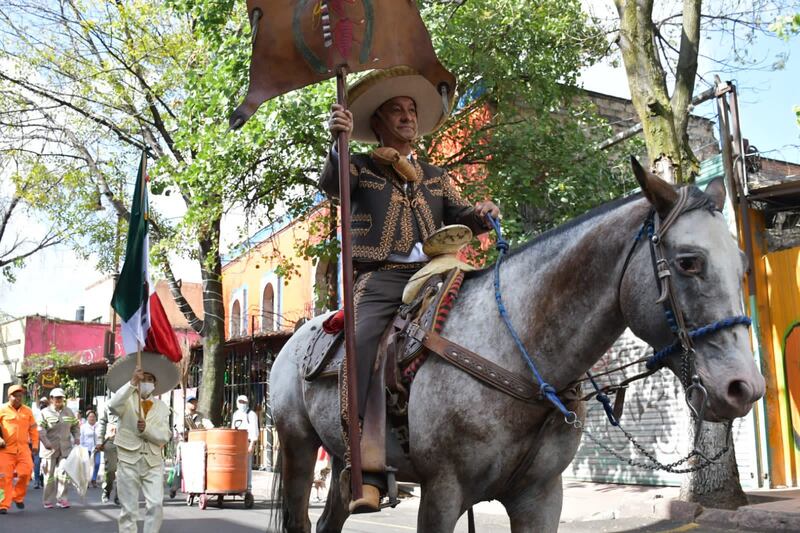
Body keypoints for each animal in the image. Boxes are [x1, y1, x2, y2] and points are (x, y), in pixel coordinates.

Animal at [268, 162, 764, 532]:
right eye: (689, 262)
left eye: (743, 265)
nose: (745, 388)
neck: (517, 353)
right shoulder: (442, 491)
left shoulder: (541, 496)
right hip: (297, 446)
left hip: (339, 458)